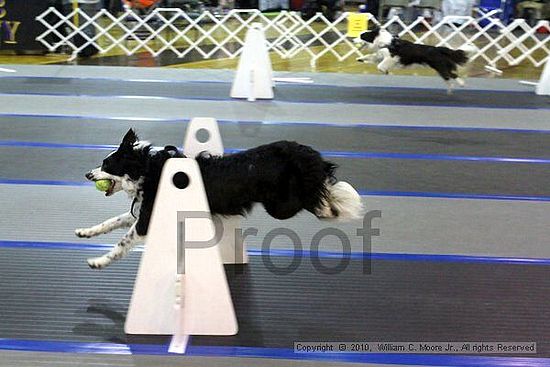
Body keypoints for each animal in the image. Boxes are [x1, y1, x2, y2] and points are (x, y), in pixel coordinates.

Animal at [75, 130, 364, 270]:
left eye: (107, 164)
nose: (87, 174)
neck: (147, 167)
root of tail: (306, 153)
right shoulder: (147, 211)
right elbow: (111, 221)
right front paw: (86, 231)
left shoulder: (146, 220)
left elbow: (122, 243)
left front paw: (98, 261)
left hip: (281, 204)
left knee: (320, 200)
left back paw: (337, 205)